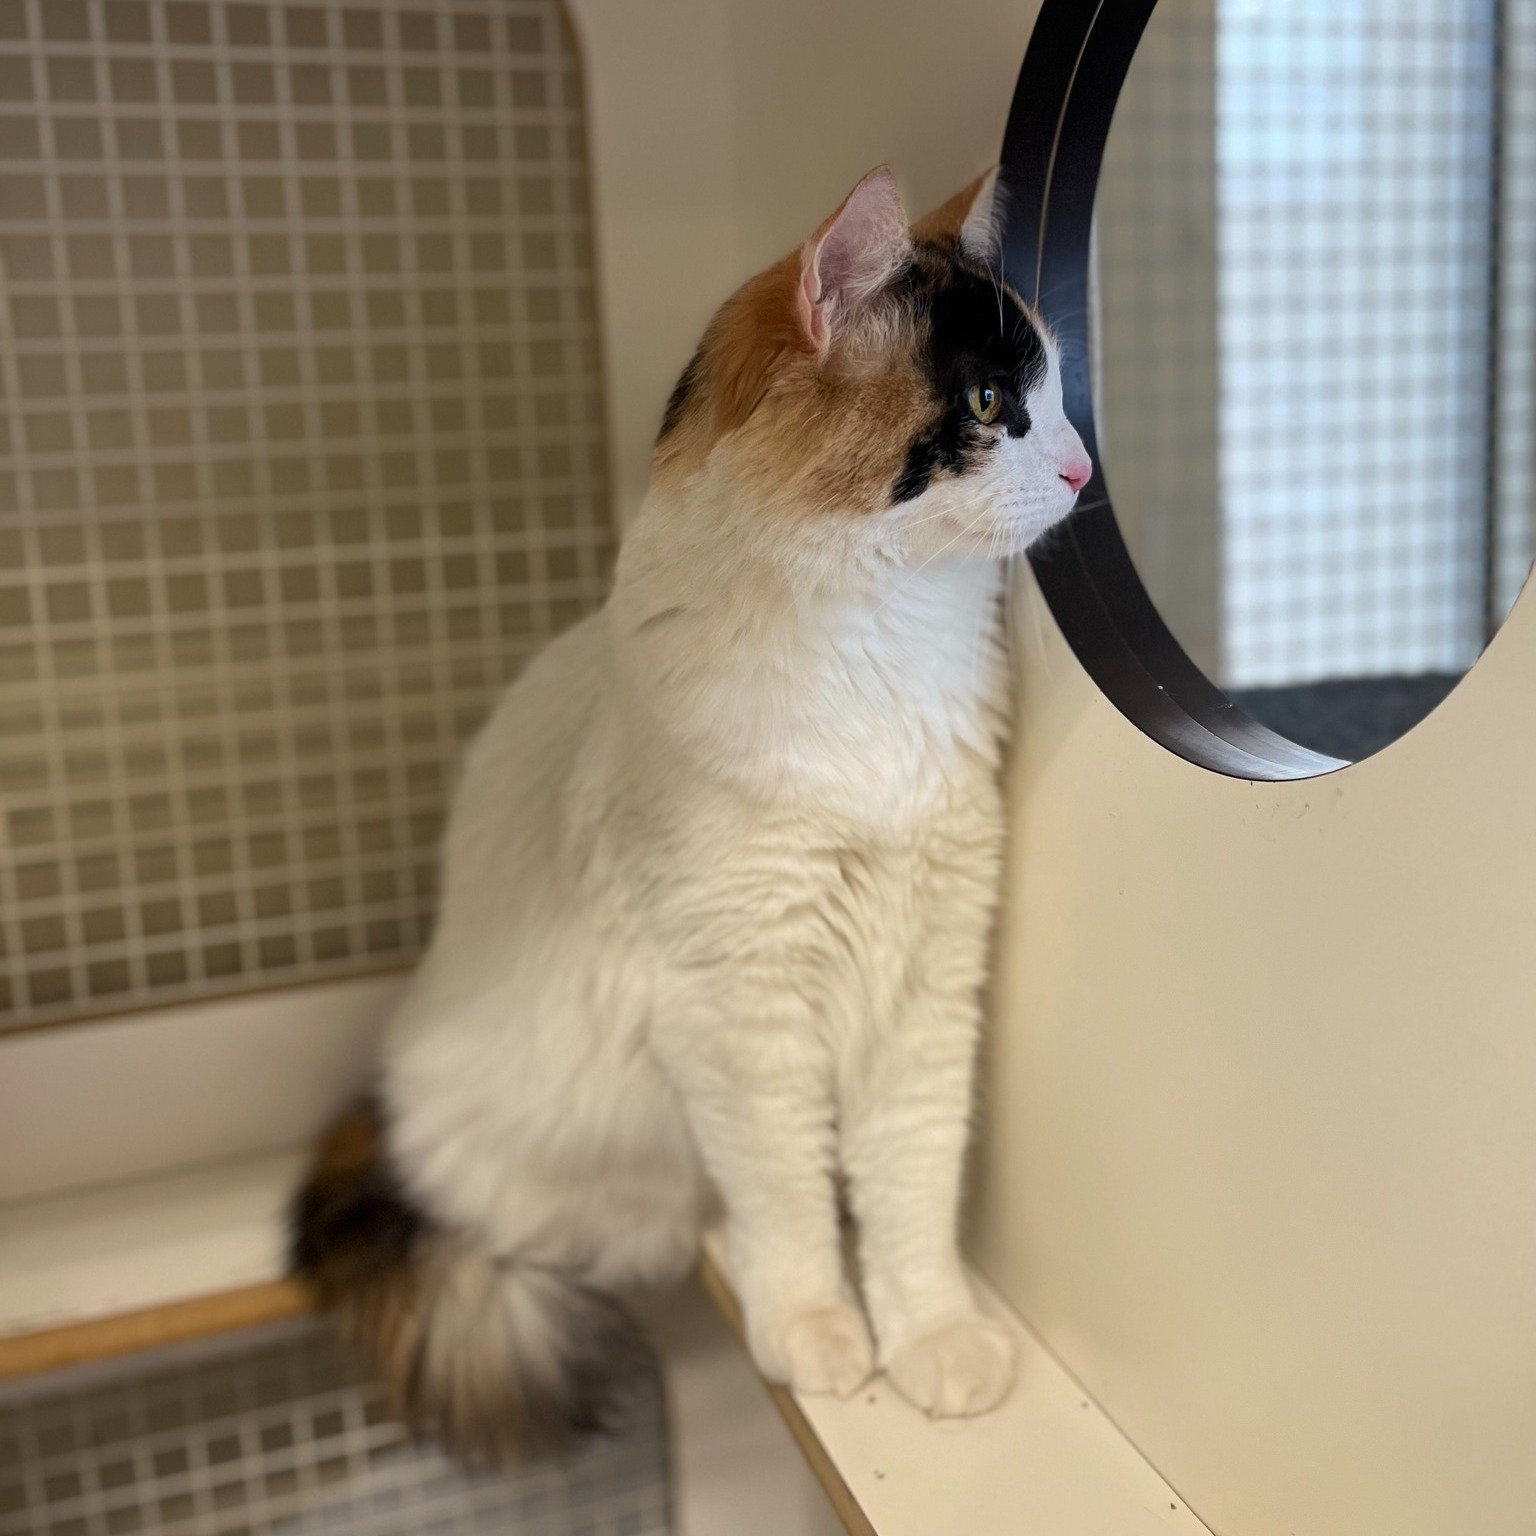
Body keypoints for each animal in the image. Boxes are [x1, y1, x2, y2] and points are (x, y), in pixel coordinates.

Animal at [293, 165, 1093, 1449]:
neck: (882, 658)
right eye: (988, 402)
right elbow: (788, 1191)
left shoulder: (928, 978)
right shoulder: (735, 1008)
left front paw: (930, 1337)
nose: (1081, 472)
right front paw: (820, 1327)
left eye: (1060, 395)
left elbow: (910, 1185)